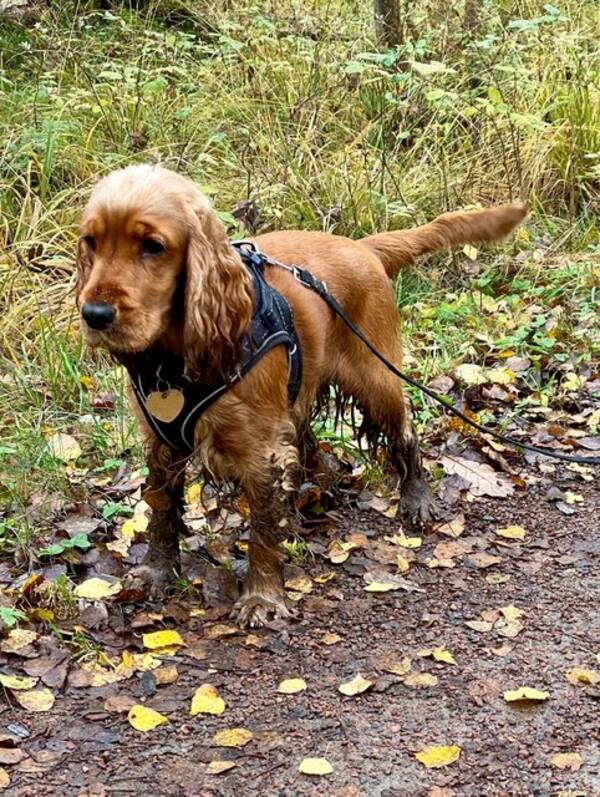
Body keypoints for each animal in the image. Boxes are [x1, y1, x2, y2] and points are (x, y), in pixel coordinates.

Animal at [77, 166, 528, 628]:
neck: (178, 356)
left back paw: (415, 498)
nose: (94, 315)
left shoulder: (260, 448)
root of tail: (362, 246)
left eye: (153, 246)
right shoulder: (161, 442)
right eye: (90, 241)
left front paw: (262, 597)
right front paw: (158, 572)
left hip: (375, 376)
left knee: (404, 432)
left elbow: (260, 528)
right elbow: (163, 510)